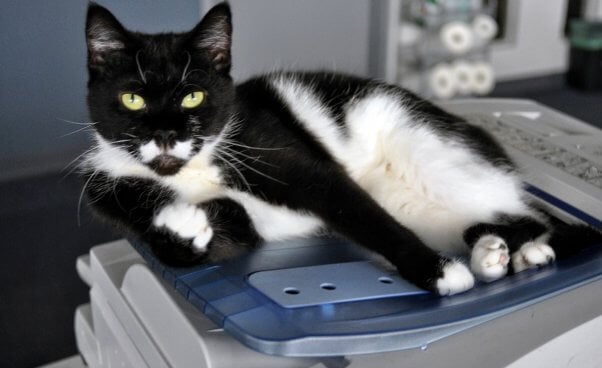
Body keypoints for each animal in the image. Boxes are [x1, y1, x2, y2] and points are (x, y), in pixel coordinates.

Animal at [82, 2, 596, 296]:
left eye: (193, 96)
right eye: (132, 99)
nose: (166, 136)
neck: (195, 169)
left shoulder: (295, 162)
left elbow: (357, 211)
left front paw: (436, 273)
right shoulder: (112, 192)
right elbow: (213, 238)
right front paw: (180, 224)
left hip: (433, 154)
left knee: (540, 217)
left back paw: (528, 250)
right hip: (422, 204)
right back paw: (496, 253)